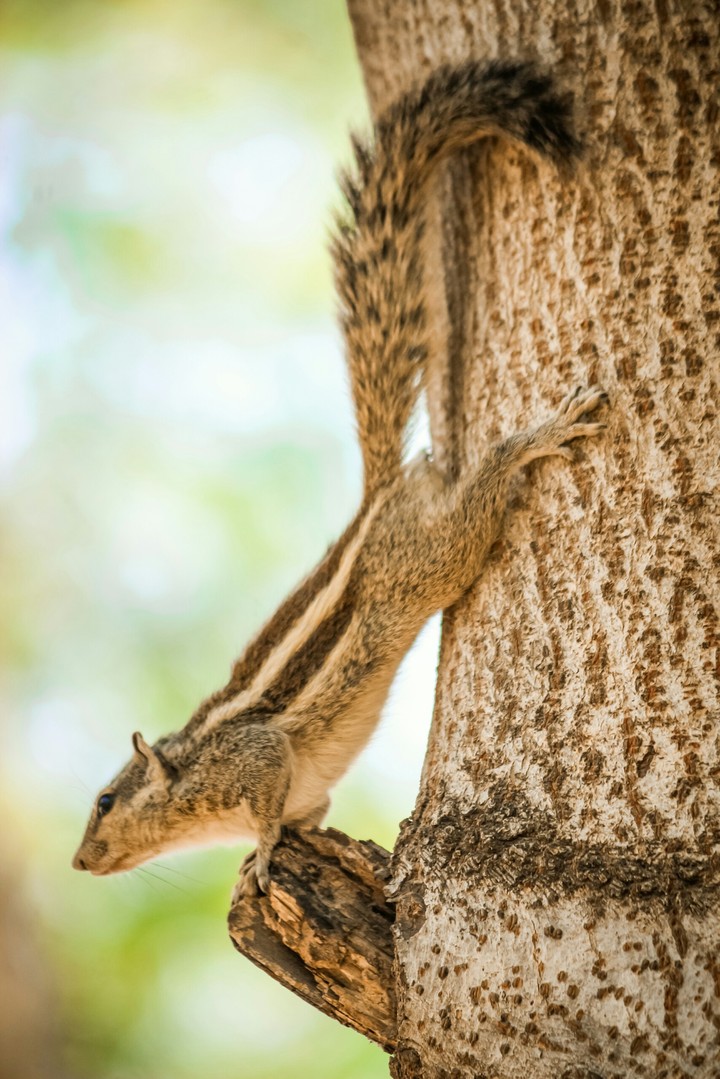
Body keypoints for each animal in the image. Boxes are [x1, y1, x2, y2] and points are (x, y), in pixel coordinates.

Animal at [73, 60, 607, 897]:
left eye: (104, 799)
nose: (79, 860)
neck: (192, 770)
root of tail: (379, 498)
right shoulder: (306, 789)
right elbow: (310, 812)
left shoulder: (256, 758)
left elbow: (267, 809)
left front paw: (260, 854)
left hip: (426, 563)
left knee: (478, 501)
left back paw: (532, 441)